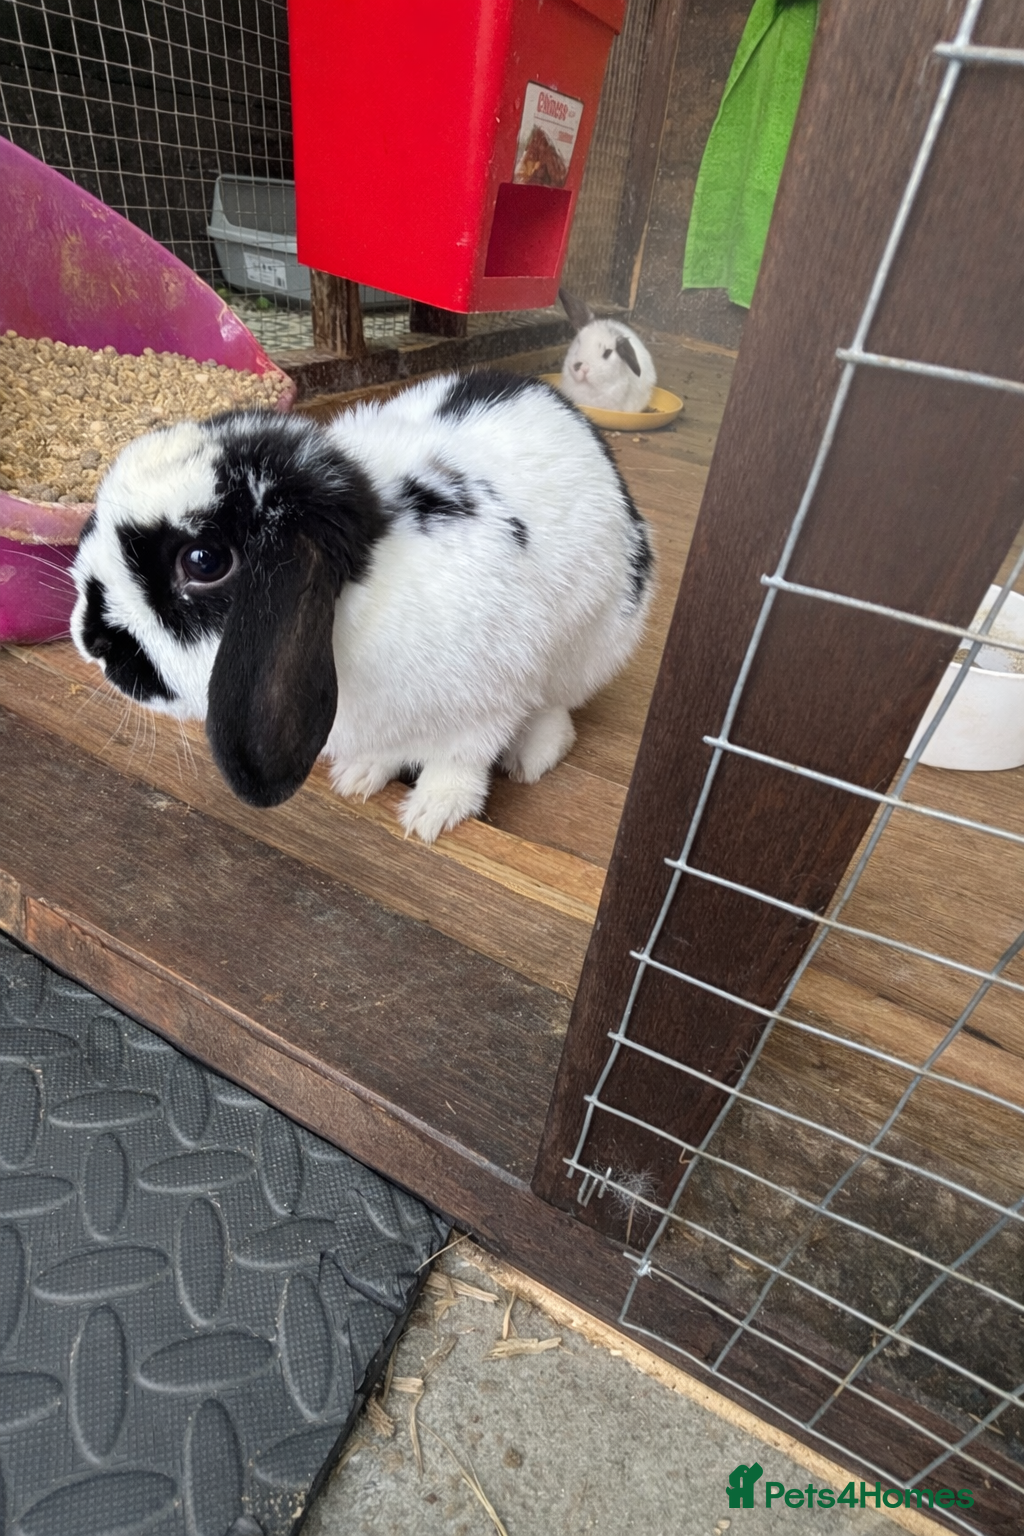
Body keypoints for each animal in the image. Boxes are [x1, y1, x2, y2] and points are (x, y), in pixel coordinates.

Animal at [70, 369, 654, 843]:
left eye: (203, 560)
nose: (90, 642)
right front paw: (360, 777)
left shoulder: (489, 702)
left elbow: (459, 760)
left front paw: (431, 814)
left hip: (595, 644)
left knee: (557, 707)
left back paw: (532, 755)